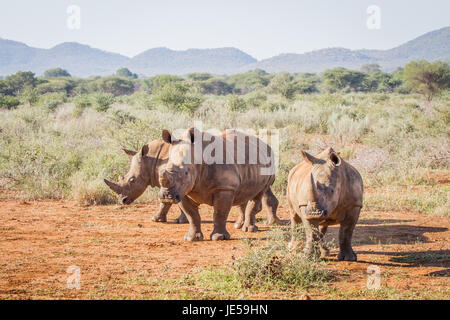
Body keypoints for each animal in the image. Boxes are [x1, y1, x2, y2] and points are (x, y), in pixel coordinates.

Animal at [105, 139, 282, 226]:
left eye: (132, 180)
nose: (122, 201)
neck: (153, 158)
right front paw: (181, 219)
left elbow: (165, 201)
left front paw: (156, 219)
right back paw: (271, 222)